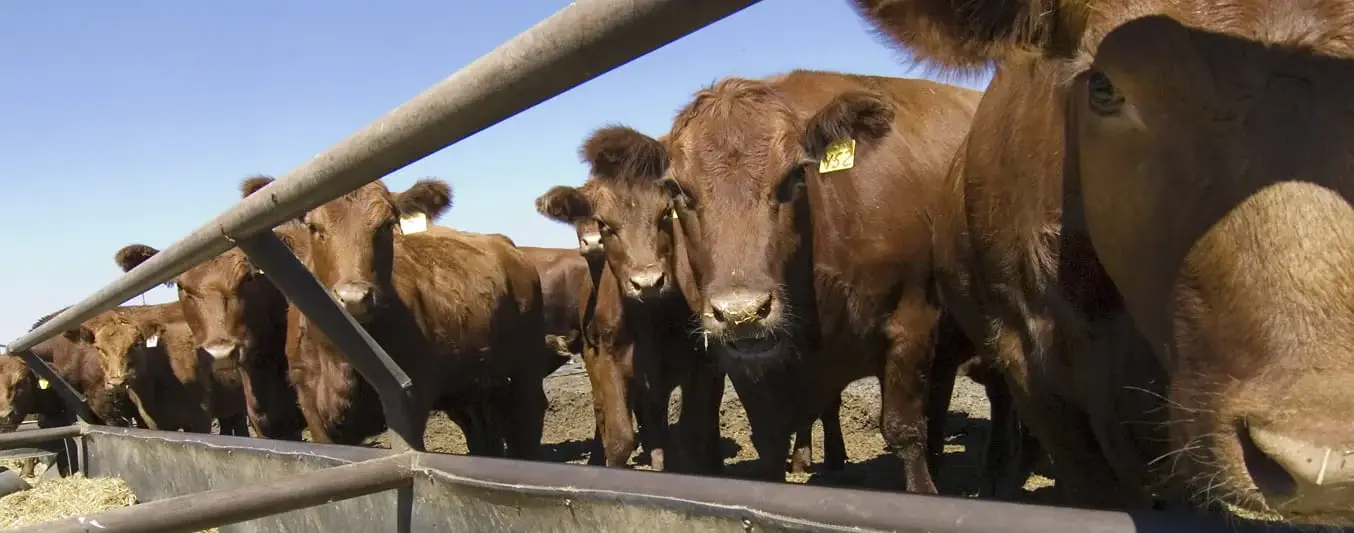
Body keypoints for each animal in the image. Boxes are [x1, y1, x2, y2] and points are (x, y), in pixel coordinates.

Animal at [269, 175, 549, 457]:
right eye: (313, 227)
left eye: (386, 225)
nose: (354, 297)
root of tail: (504, 243)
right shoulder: (312, 406)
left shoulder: (413, 398)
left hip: (526, 366)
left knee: (528, 420)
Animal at [530, 125, 725, 473]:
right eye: (605, 224)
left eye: (665, 214)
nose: (647, 282)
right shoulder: (605, 360)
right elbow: (620, 439)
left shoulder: (699, 364)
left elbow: (692, 436)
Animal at [658, 70, 985, 492]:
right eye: (677, 189)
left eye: (796, 174)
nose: (742, 312)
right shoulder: (741, 357)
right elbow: (770, 438)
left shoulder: (911, 324)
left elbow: (904, 429)